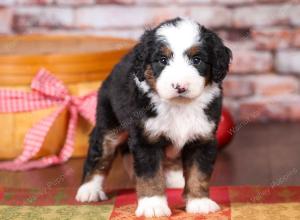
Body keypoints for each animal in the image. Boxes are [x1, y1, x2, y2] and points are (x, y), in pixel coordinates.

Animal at [75, 17, 232, 218]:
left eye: (197, 60)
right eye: (162, 60)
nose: (180, 86)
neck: (179, 106)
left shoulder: (202, 138)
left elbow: (198, 173)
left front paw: (199, 202)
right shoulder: (146, 139)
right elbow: (150, 175)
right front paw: (153, 205)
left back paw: (174, 178)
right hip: (109, 124)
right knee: (99, 154)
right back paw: (89, 189)